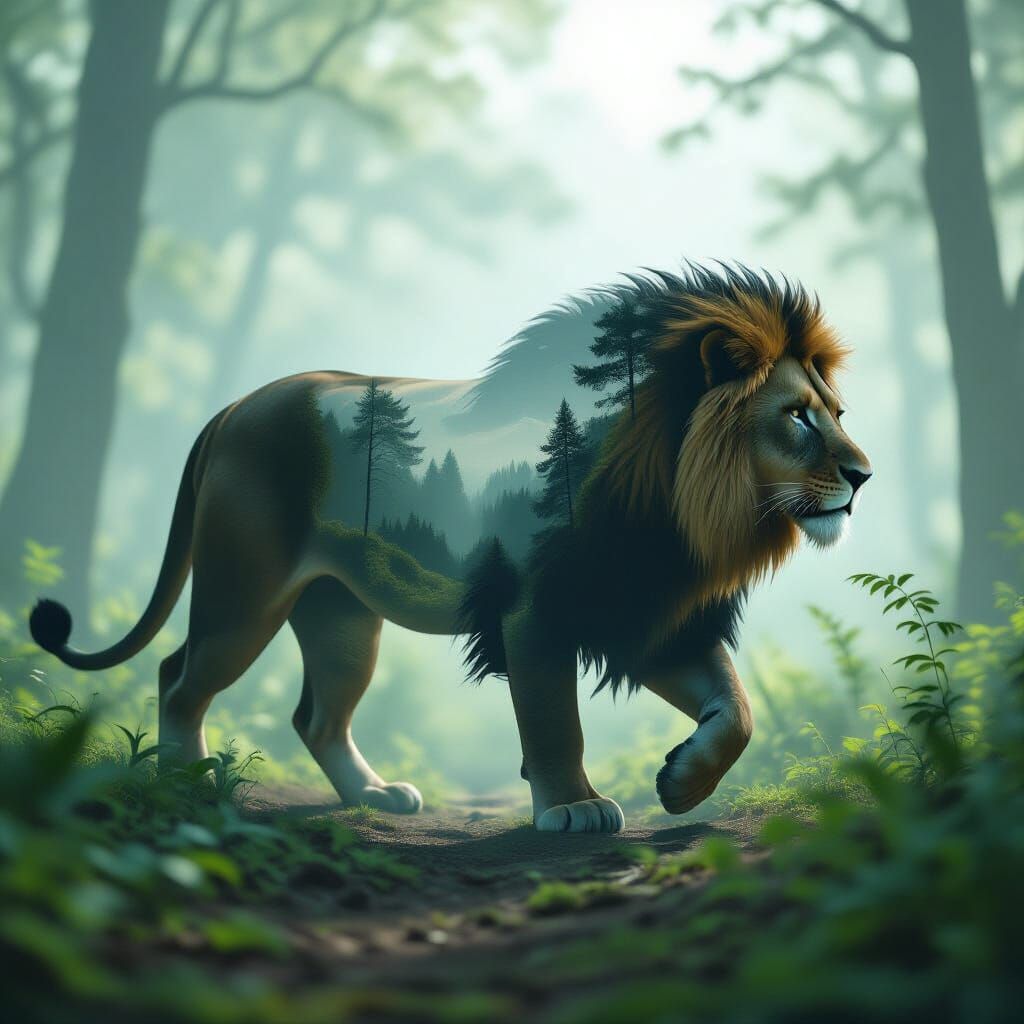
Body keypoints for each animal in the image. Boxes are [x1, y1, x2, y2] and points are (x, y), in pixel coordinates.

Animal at [30, 265, 871, 833]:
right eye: (797, 417)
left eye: (835, 412)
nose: (864, 475)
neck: (678, 505)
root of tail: (234, 407)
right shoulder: (535, 610)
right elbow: (553, 717)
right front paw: (574, 807)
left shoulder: (641, 611)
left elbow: (738, 710)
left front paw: (682, 784)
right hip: (244, 592)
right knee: (177, 675)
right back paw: (186, 785)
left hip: (340, 617)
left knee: (316, 716)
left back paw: (374, 796)